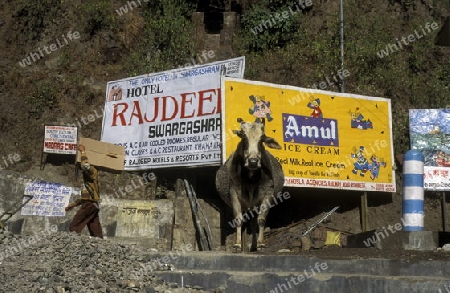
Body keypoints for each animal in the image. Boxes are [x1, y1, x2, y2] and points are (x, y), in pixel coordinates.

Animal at [215, 117, 284, 250]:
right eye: (244, 137)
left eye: (261, 139)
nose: (253, 161)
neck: (251, 179)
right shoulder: (234, 194)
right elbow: (238, 219)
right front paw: (237, 244)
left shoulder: (268, 194)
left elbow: (261, 220)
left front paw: (261, 243)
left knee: (253, 223)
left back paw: (253, 246)